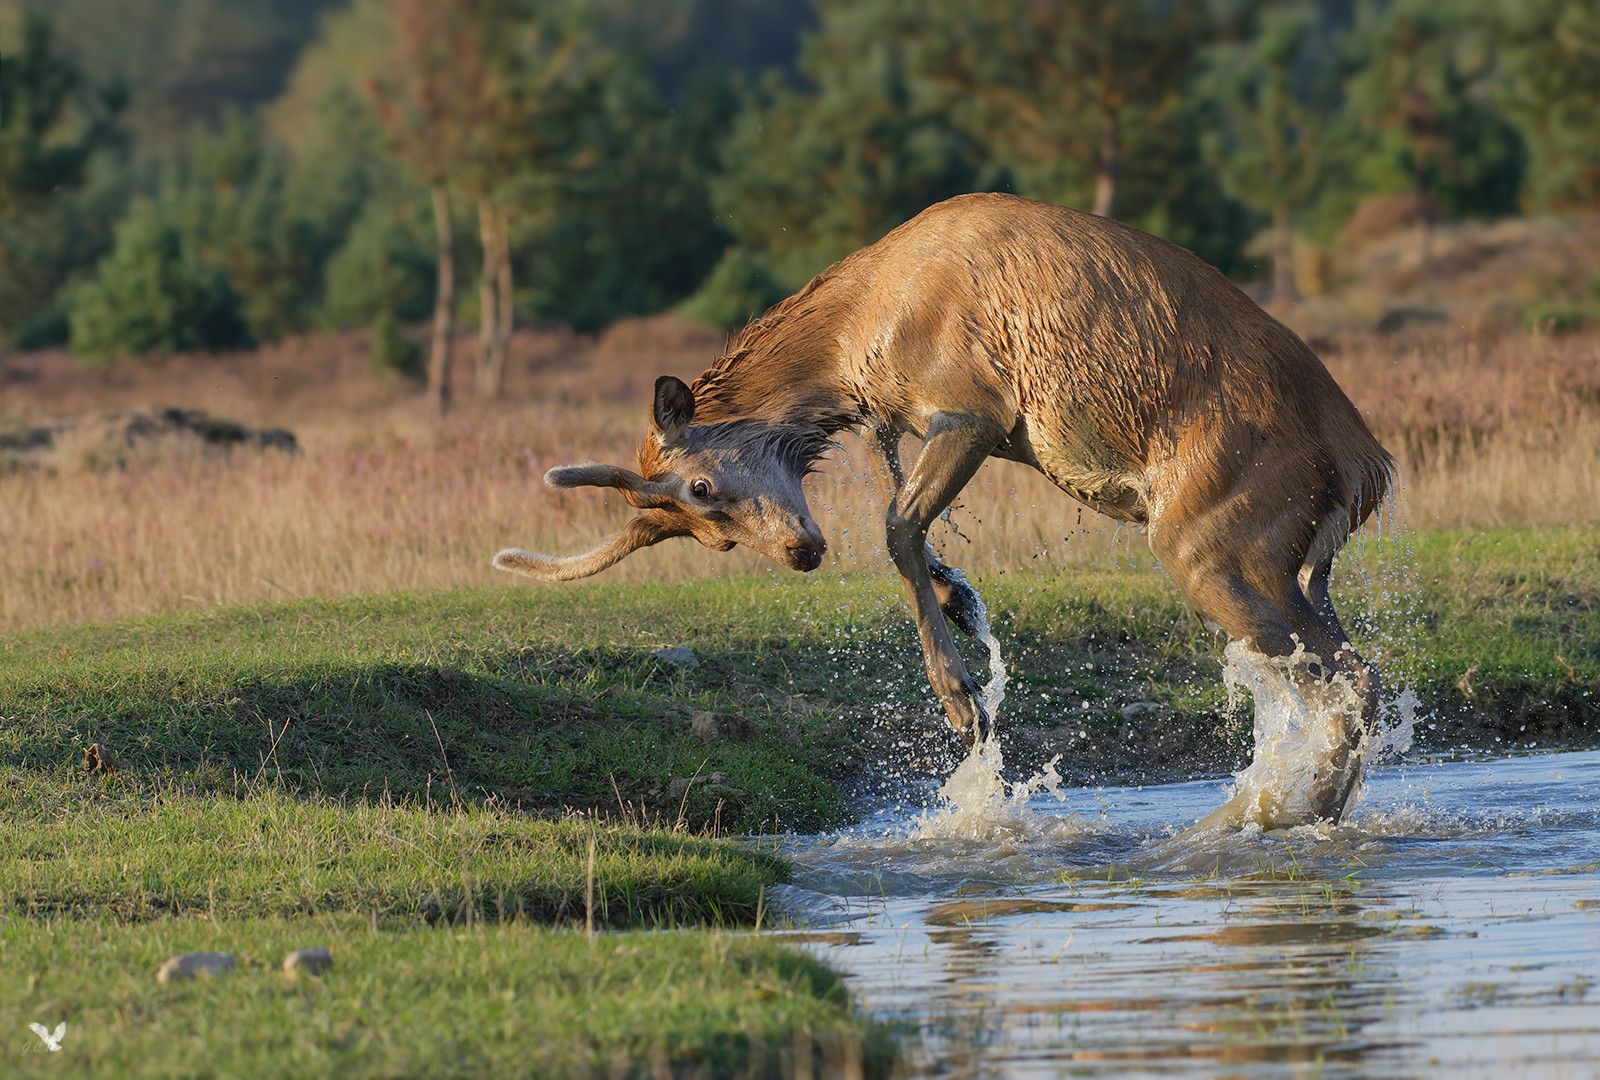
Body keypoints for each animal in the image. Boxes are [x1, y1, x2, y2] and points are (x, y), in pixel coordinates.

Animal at [492, 192, 1395, 825]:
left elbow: (895, 525)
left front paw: (963, 699)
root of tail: (1368, 467)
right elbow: (906, 512)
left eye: (702, 490)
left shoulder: (973, 406)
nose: (800, 552)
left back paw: (1285, 814)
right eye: (703, 538)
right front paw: (959, 596)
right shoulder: (911, 422)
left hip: (1212, 542)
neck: (854, 346)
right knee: (1346, 665)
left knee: (1348, 676)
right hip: (1294, 561)